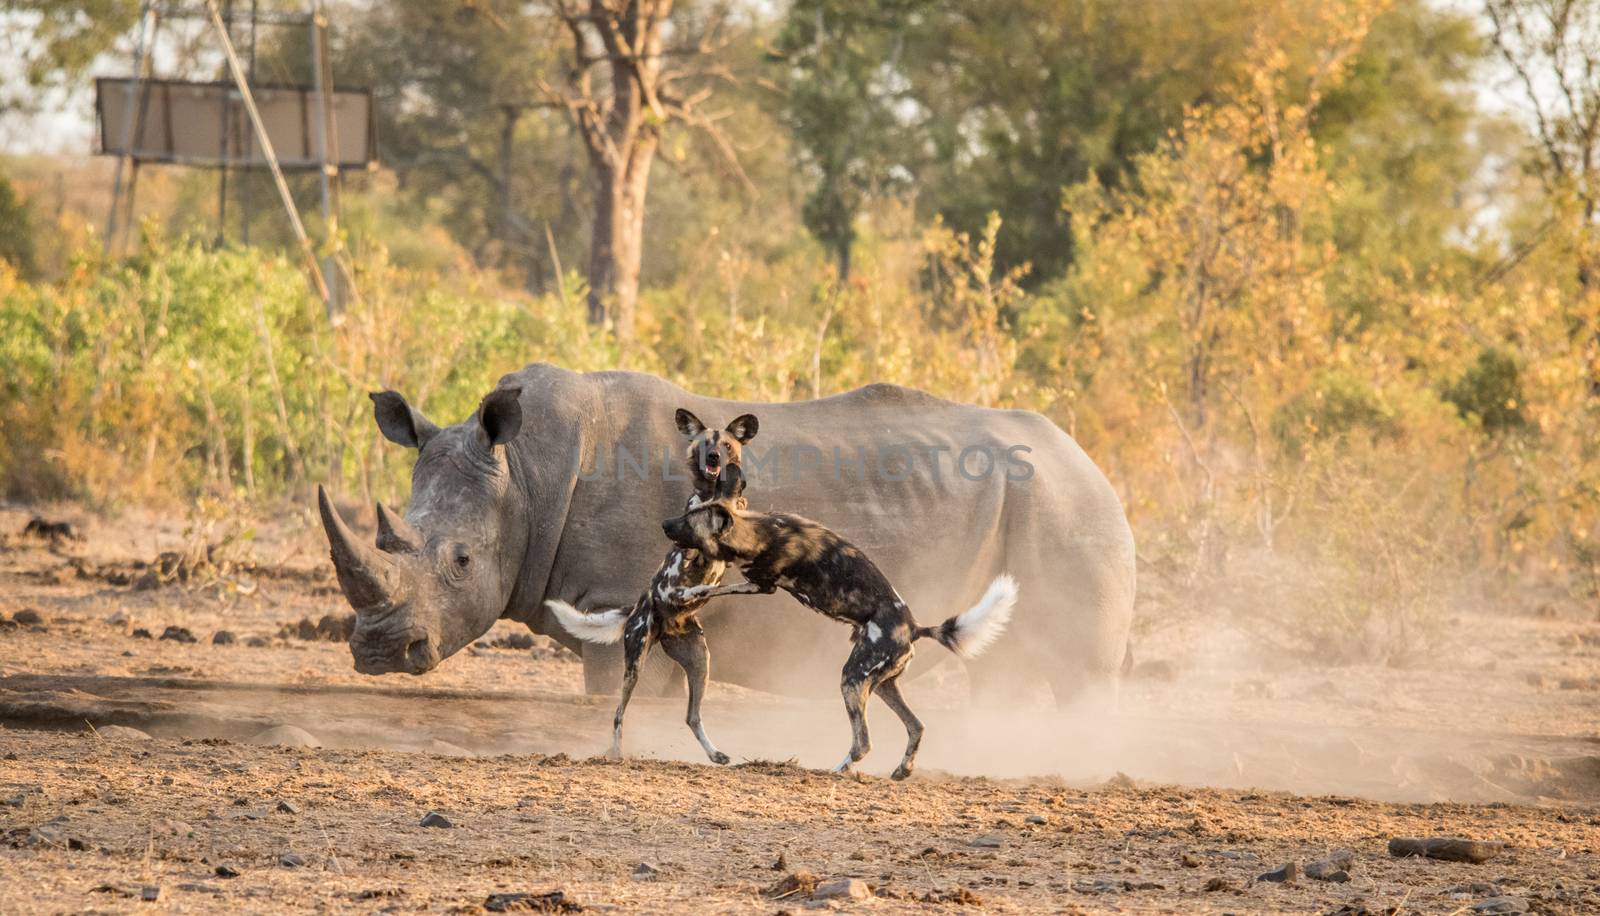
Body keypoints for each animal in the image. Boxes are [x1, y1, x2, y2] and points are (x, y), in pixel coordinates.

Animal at [544, 409, 755, 762]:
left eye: (727, 445)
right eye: (704, 445)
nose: (715, 458)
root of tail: (638, 607)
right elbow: (692, 547)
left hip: (700, 663)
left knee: (692, 716)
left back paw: (716, 754)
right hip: (635, 667)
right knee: (617, 714)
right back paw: (616, 753)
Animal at [665, 464, 1017, 781]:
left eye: (687, 522)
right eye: (687, 511)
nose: (665, 523)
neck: (759, 533)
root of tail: (914, 628)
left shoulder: (760, 585)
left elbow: (713, 588)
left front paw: (684, 592)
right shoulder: (757, 582)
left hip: (852, 679)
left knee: (863, 742)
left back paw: (836, 770)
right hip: (881, 684)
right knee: (916, 726)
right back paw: (902, 770)